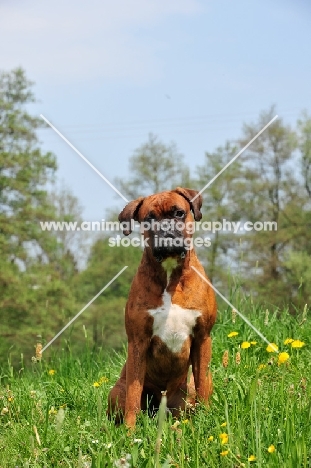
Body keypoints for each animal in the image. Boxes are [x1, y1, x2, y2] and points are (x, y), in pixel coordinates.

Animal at [108, 186, 218, 428]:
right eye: (149, 218)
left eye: (178, 213)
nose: (166, 229)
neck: (169, 275)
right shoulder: (138, 342)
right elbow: (134, 393)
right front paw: (130, 430)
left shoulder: (202, 338)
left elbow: (202, 383)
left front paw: (207, 419)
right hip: (116, 391)